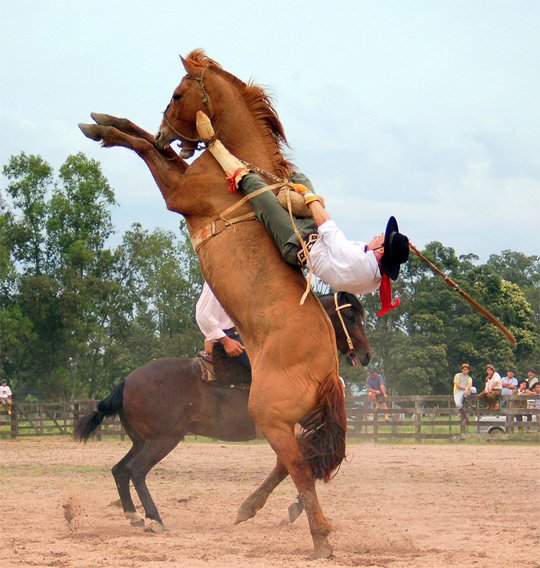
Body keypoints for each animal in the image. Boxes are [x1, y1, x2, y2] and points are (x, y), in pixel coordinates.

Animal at [75, 292, 372, 532]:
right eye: (350, 316)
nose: (366, 355)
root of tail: (127, 381)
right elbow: (292, 464)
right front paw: (254, 508)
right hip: (163, 440)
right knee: (136, 470)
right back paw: (154, 519)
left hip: (141, 440)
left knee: (119, 470)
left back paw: (134, 516)